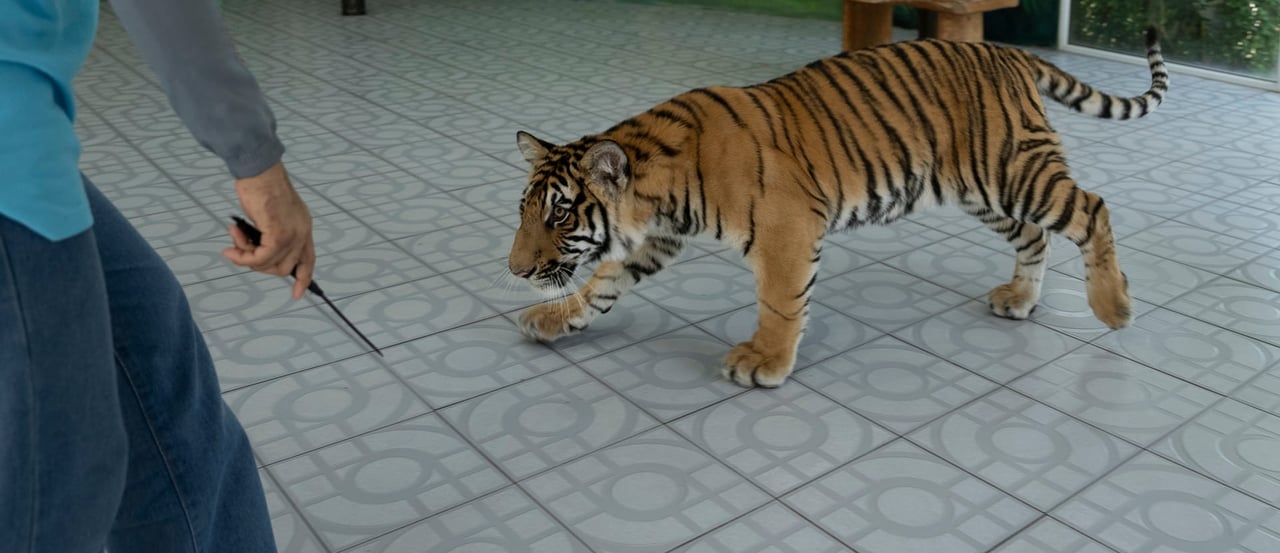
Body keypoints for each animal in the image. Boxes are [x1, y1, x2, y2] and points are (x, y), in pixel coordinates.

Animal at [505, 26, 1168, 388]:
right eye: (526, 211)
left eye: (560, 214)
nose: (514, 270)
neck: (655, 193)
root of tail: (1011, 52)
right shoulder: (655, 239)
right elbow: (602, 286)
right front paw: (555, 320)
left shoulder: (786, 231)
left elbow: (780, 303)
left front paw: (765, 362)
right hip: (980, 188)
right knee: (1037, 237)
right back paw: (1021, 301)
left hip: (1013, 171)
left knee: (1092, 208)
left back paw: (1113, 308)